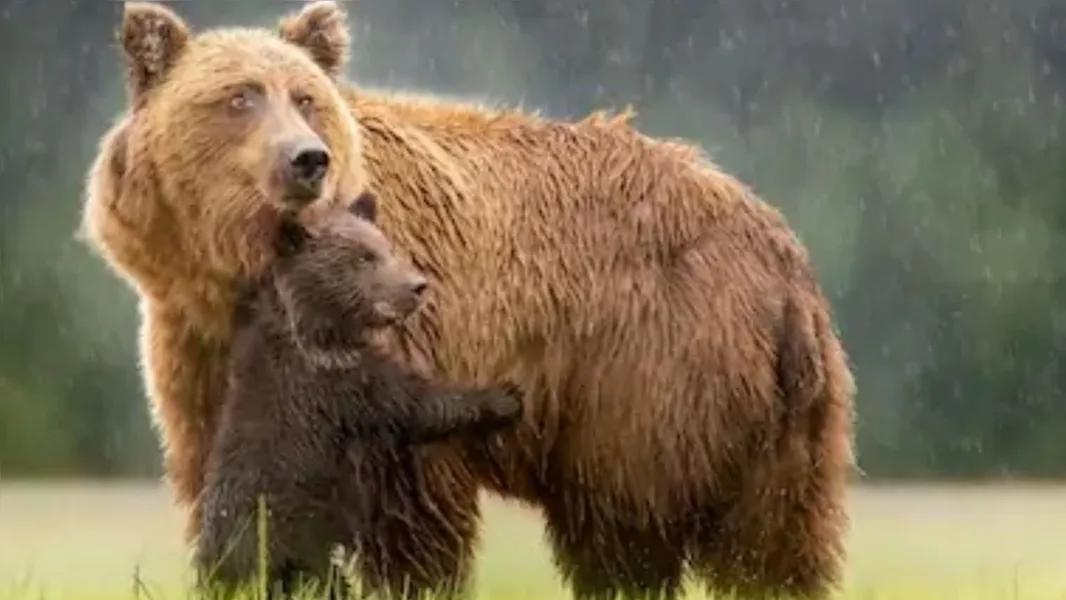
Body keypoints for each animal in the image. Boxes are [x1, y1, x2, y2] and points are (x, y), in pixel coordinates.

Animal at [78, 2, 852, 596]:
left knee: (626, 522)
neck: (249, 274)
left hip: (651, 373)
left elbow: (409, 502)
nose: (306, 159)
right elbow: (232, 478)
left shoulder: (405, 339)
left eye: (304, 97)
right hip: (780, 422)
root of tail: (778, 244)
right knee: (777, 542)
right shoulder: (202, 349)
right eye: (238, 96)